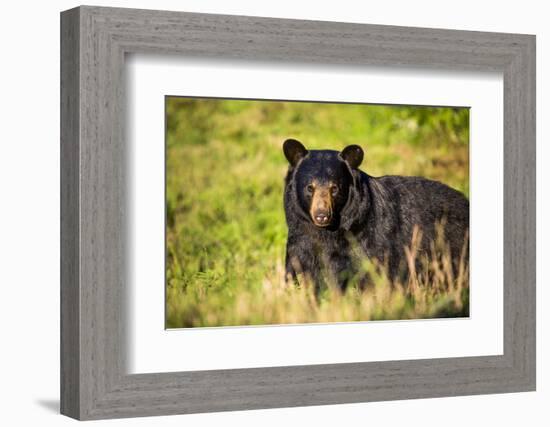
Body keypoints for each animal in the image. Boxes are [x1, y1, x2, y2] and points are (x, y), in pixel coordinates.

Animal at [284, 139, 470, 292]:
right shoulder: (300, 238)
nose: (322, 215)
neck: (328, 231)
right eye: (310, 187)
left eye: (334, 188)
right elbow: (297, 267)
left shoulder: (365, 239)